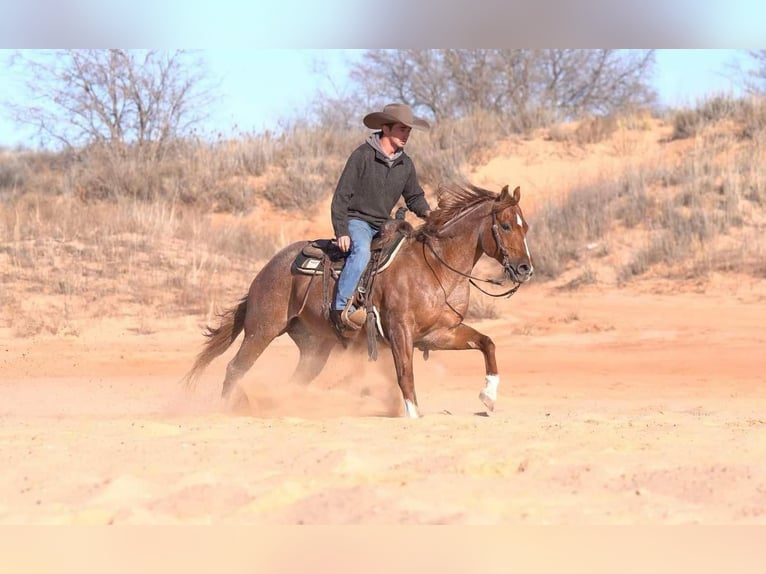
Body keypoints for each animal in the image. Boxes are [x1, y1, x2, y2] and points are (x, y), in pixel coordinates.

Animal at [184, 183, 536, 418]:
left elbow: (487, 343)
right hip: (262, 329)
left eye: (526, 226)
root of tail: (265, 271)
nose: (525, 268)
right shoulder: (400, 332)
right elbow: (405, 374)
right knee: (235, 368)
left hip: (314, 347)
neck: (434, 268)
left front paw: (488, 397)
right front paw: (412, 415)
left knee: (296, 380)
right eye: (506, 225)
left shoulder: (440, 334)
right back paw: (229, 408)